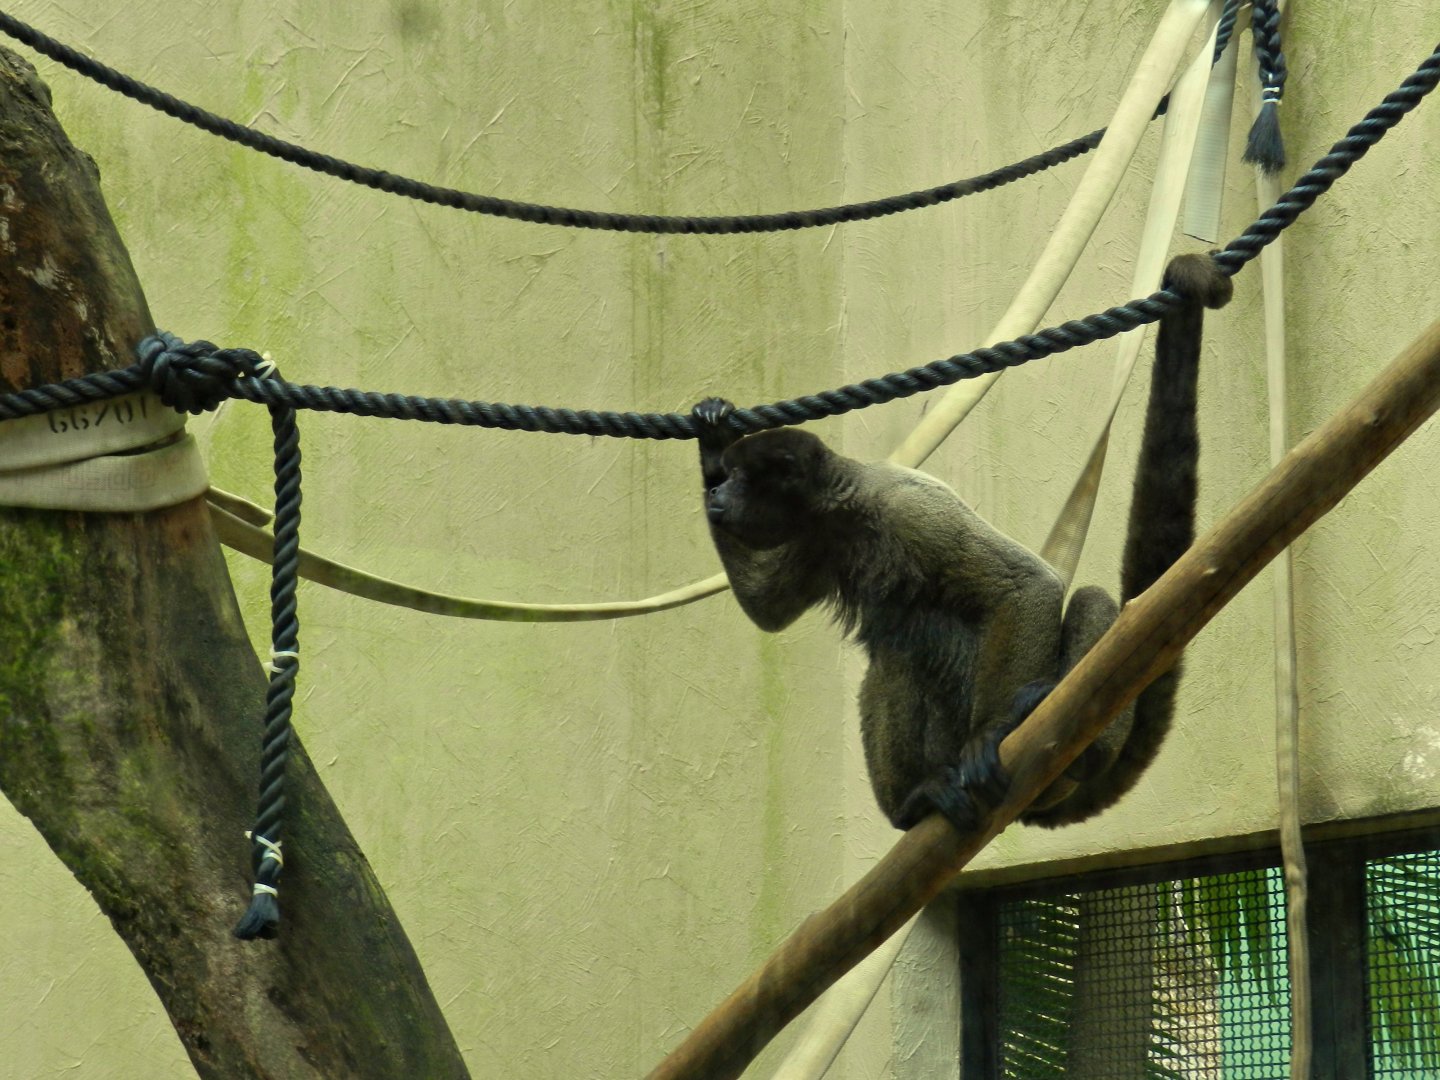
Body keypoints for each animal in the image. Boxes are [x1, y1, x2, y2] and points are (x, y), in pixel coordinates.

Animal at [691, 253, 1232, 832]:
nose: (718, 489)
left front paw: (992, 731)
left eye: (742, 479)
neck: (844, 508)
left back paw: (1065, 745)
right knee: (894, 657)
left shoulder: (909, 511)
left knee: (1081, 602)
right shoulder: (817, 537)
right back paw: (914, 804)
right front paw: (711, 442)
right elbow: (768, 609)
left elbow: (1028, 584)